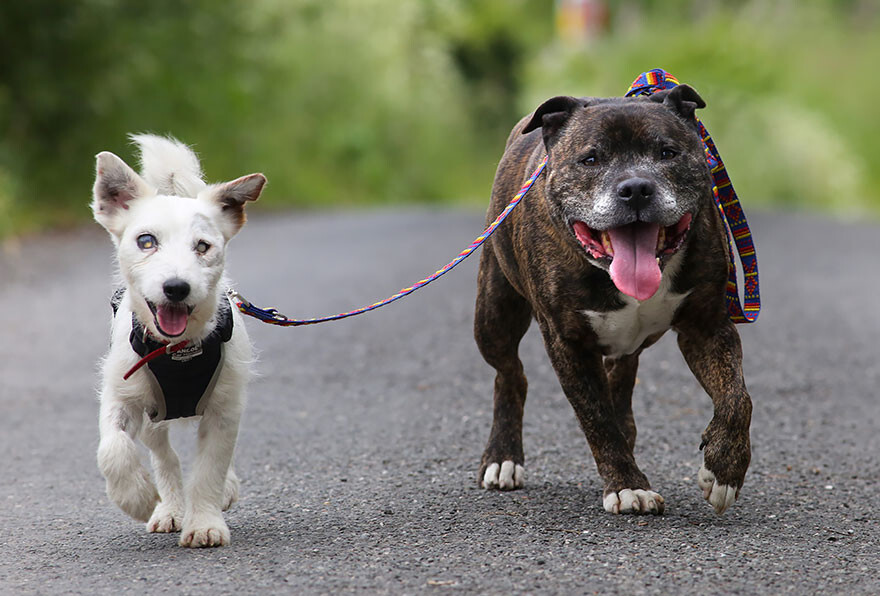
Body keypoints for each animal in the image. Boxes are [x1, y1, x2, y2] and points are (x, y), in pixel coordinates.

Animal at [94, 135, 264, 548]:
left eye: (202, 246)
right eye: (146, 241)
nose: (176, 287)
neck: (179, 351)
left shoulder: (225, 409)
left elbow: (210, 467)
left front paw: (204, 522)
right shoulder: (121, 395)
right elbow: (113, 448)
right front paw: (136, 497)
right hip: (153, 415)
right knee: (164, 456)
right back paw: (168, 507)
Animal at [474, 85, 748, 516]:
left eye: (667, 152)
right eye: (590, 159)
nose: (635, 188)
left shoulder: (707, 327)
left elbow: (737, 397)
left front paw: (723, 470)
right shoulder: (568, 343)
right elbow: (596, 418)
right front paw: (627, 485)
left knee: (619, 376)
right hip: (494, 315)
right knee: (510, 373)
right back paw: (502, 457)